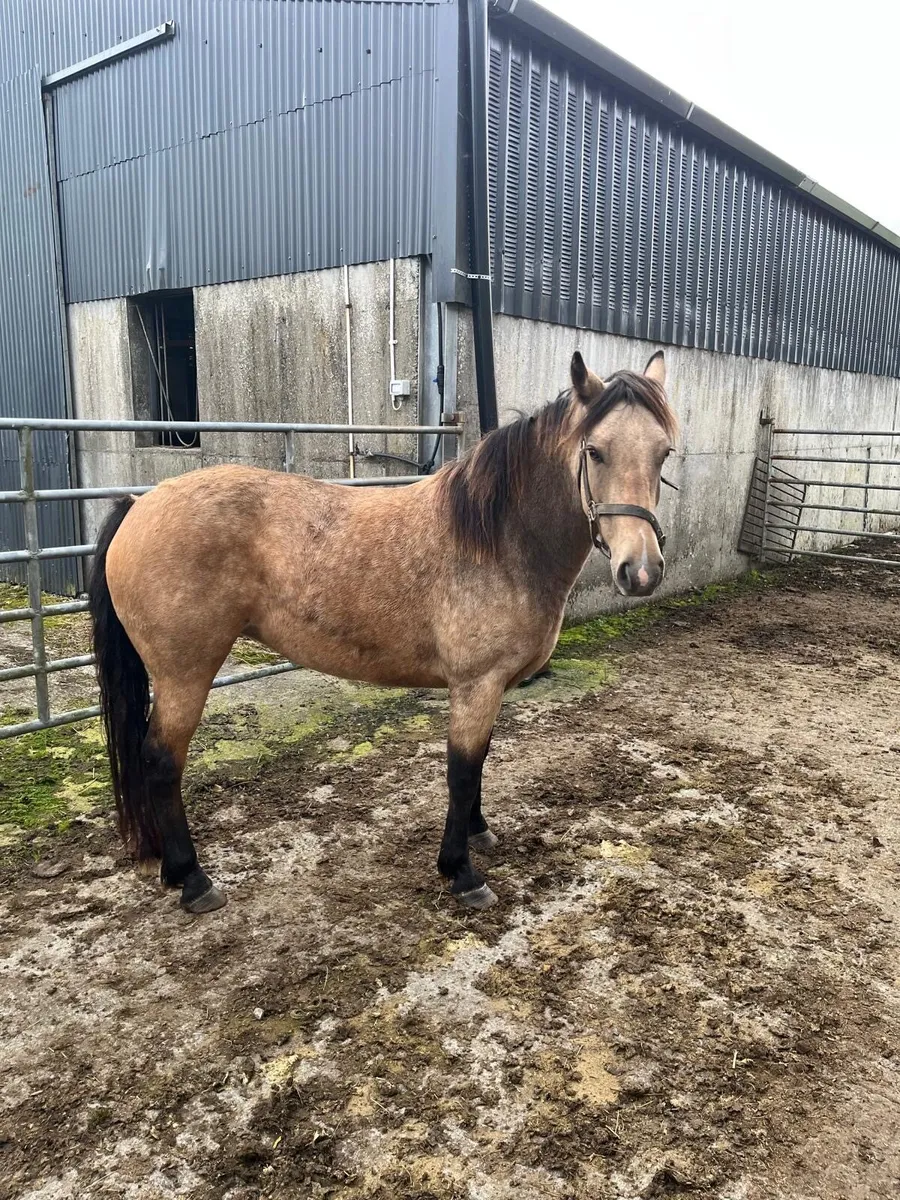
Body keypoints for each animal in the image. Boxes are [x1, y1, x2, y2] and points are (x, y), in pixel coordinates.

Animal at [88, 349, 677, 915]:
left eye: (664, 454)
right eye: (595, 451)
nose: (642, 571)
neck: (500, 538)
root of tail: (140, 504)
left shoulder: (490, 688)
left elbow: (481, 760)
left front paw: (479, 833)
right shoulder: (476, 684)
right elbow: (462, 772)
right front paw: (461, 873)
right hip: (184, 673)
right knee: (161, 761)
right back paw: (192, 880)